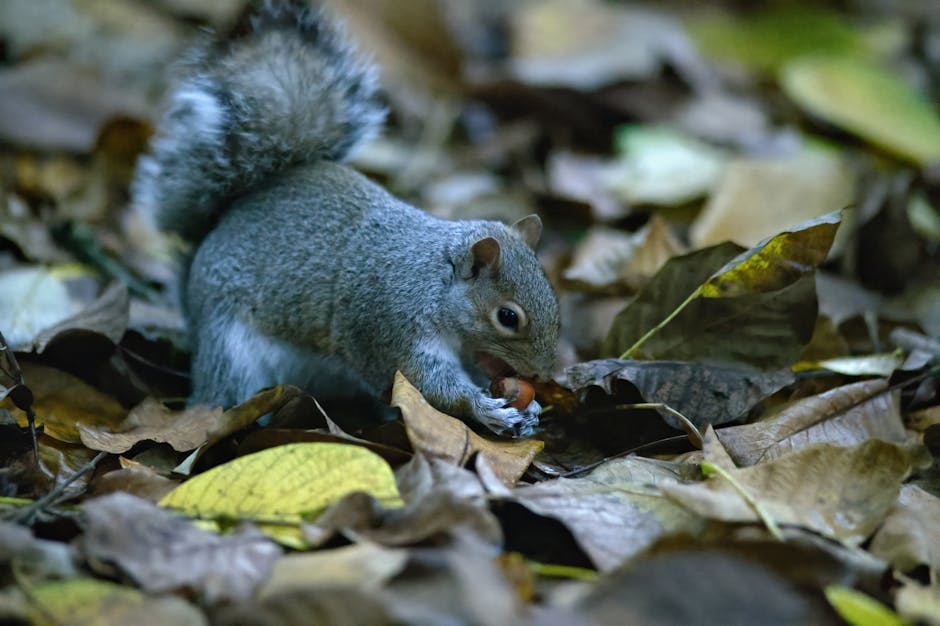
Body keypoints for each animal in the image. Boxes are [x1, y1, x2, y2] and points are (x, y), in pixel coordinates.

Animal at [132, 0, 560, 437]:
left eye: (552, 296)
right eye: (507, 317)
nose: (542, 375)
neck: (433, 281)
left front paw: (528, 410)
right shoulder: (389, 325)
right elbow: (423, 382)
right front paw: (484, 407)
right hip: (229, 350)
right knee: (222, 389)